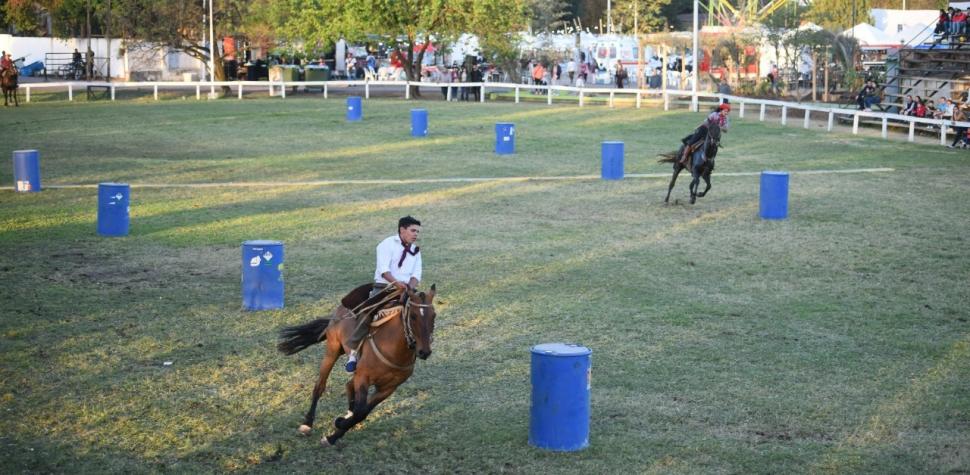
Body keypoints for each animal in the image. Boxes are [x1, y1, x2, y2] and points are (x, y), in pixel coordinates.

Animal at [276, 284, 434, 448]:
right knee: (320, 386)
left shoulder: (387, 388)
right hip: (332, 350)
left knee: (348, 386)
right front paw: (340, 423)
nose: (424, 351)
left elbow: (362, 413)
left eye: (433, 316)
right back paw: (307, 423)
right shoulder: (363, 377)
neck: (392, 348)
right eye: (413, 316)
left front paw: (334, 435)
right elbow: (360, 411)